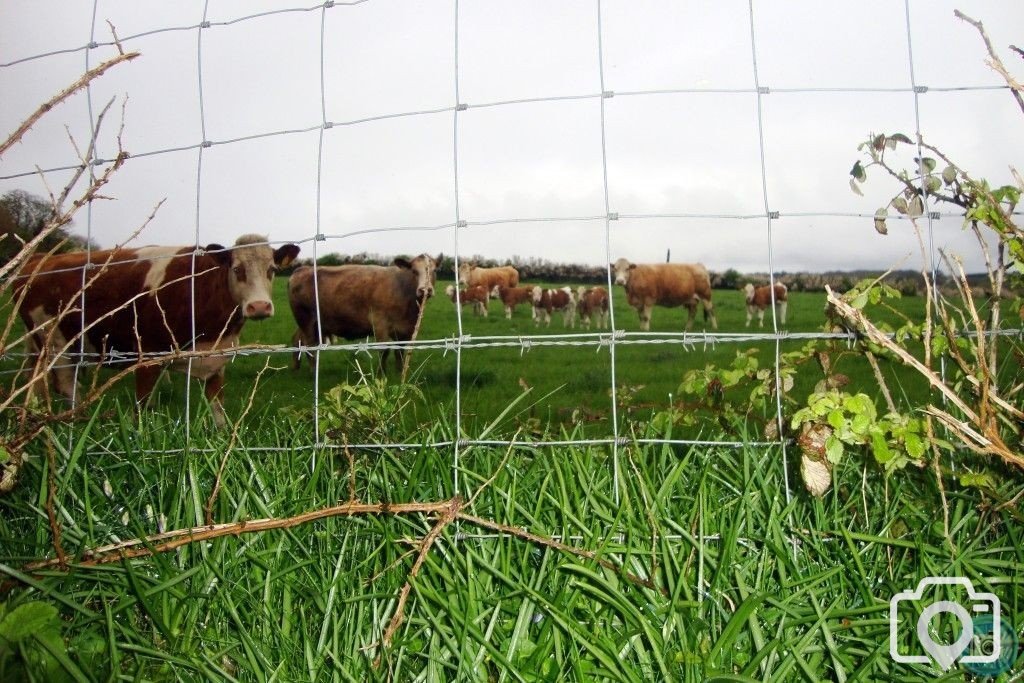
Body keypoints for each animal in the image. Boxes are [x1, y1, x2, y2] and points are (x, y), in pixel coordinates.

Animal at [14, 236, 299, 428]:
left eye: (272, 270)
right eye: (237, 269)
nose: (259, 306)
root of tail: (40, 259)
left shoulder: (216, 360)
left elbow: (217, 408)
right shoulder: (148, 356)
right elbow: (142, 406)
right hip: (53, 342)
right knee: (65, 384)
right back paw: (75, 422)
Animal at [288, 253, 440, 374]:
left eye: (434, 270)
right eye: (414, 271)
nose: (425, 290)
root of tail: (301, 269)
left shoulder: (406, 329)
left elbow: (400, 352)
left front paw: (399, 373)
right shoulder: (380, 323)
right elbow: (384, 351)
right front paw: (380, 375)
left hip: (312, 324)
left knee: (297, 340)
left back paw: (296, 368)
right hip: (305, 319)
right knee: (310, 345)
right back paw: (314, 370)